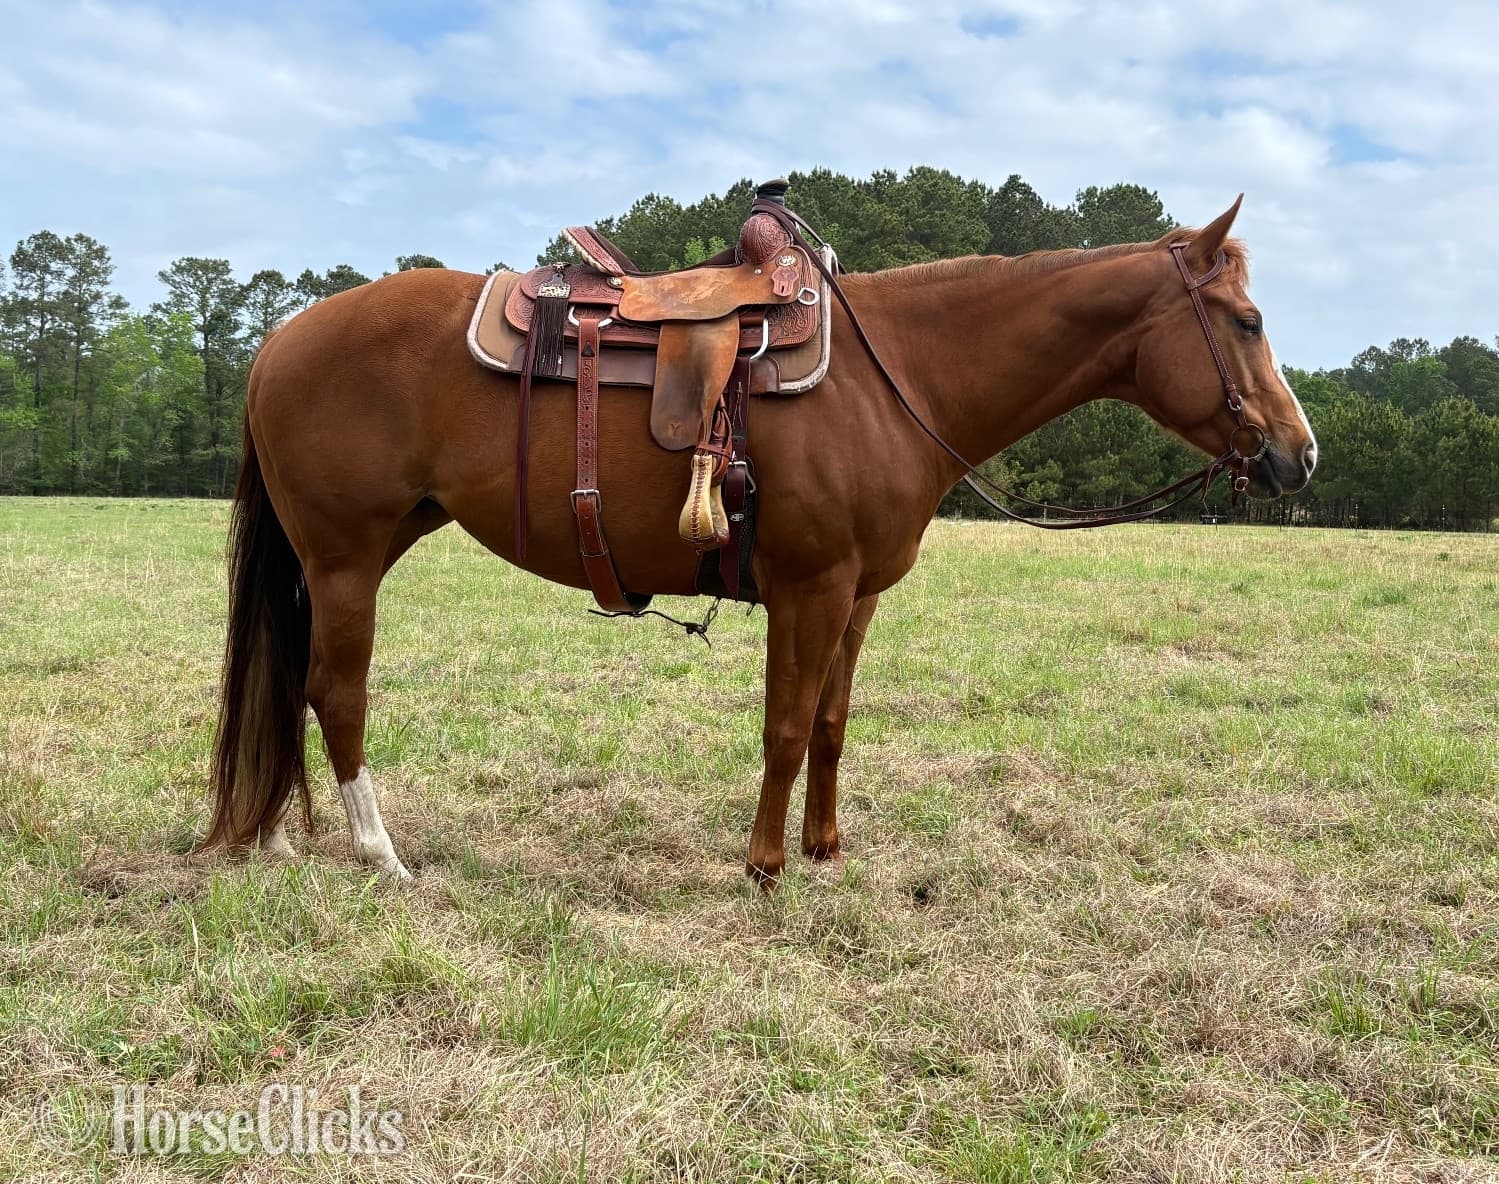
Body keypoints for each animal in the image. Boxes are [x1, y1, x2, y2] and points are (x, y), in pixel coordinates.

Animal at [197, 197, 1317, 886]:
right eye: (1246, 320)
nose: (1297, 455)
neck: (895, 374)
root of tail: (280, 338)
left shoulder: (857, 597)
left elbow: (828, 725)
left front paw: (823, 846)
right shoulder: (809, 588)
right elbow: (782, 726)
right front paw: (765, 863)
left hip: (343, 555)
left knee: (292, 684)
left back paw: (284, 836)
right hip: (346, 557)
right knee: (334, 690)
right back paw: (379, 852)